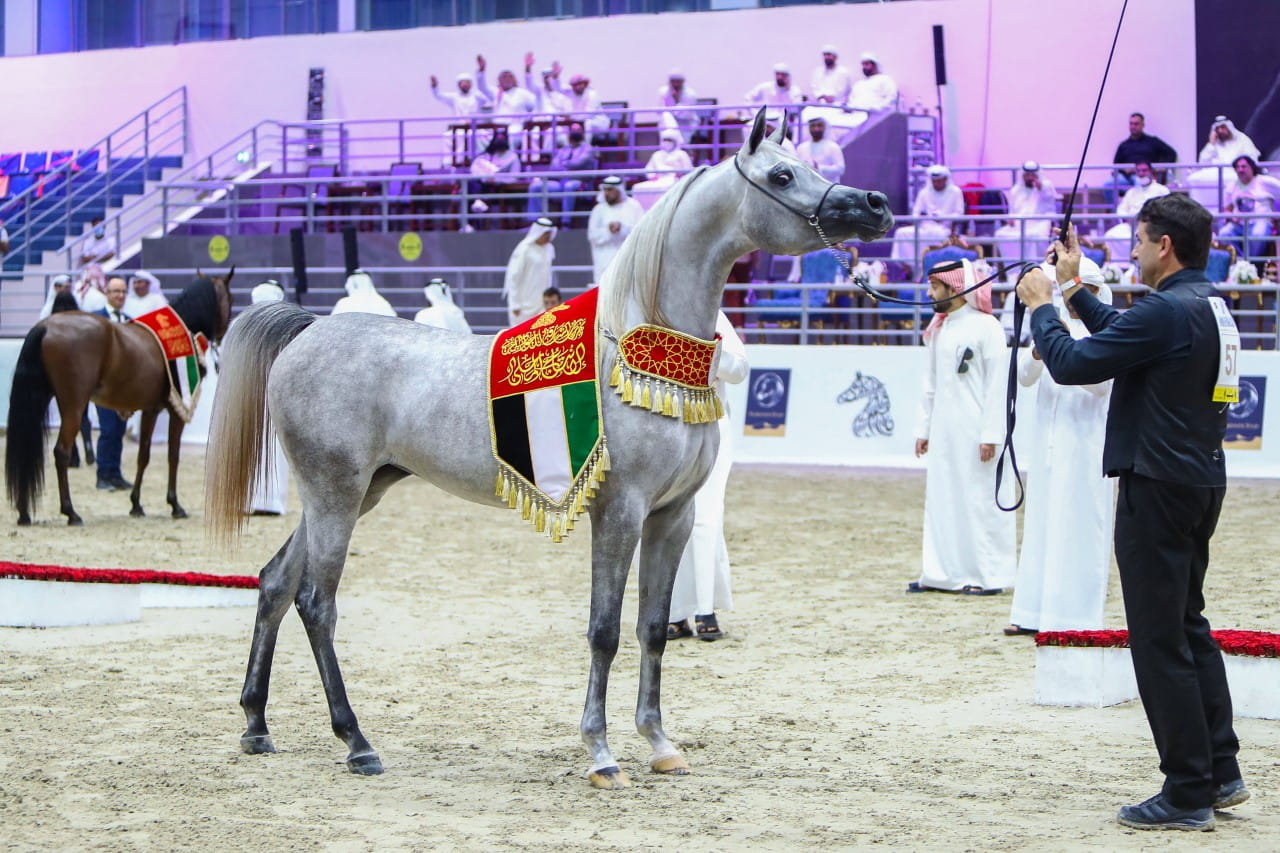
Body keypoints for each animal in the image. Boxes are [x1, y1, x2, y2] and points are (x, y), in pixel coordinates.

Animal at [6, 272, 235, 525]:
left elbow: (143, 455)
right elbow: (173, 456)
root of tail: (46, 325)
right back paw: (71, 512)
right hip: (74, 406)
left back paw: (24, 513)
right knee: (61, 452)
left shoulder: (151, 409)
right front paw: (175, 505)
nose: (223, 334)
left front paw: (136, 504)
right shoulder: (177, 408)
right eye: (230, 298)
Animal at [207, 109, 890, 788]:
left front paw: (659, 742)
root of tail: (309, 329)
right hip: (336, 495)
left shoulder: (673, 515)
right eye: (782, 174)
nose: (876, 204)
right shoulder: (619, 512)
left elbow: (652, 628)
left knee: (274, 583)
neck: (639, 353)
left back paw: (256, 725)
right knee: (316, 603)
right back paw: (357, 742)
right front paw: (601, 753)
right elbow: (604, 630)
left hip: (354, 494)